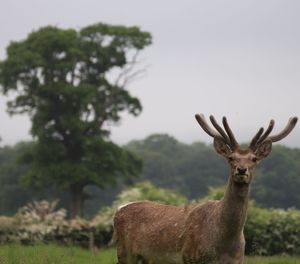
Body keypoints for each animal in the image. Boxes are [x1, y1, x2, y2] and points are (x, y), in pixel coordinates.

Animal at [113, 114, 298, 264]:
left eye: (254, 159)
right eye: (231, 158)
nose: (241, 170)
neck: (224, 245)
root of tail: (119, 209)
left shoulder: (238, 260)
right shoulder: (190, 256)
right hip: (124, 252)